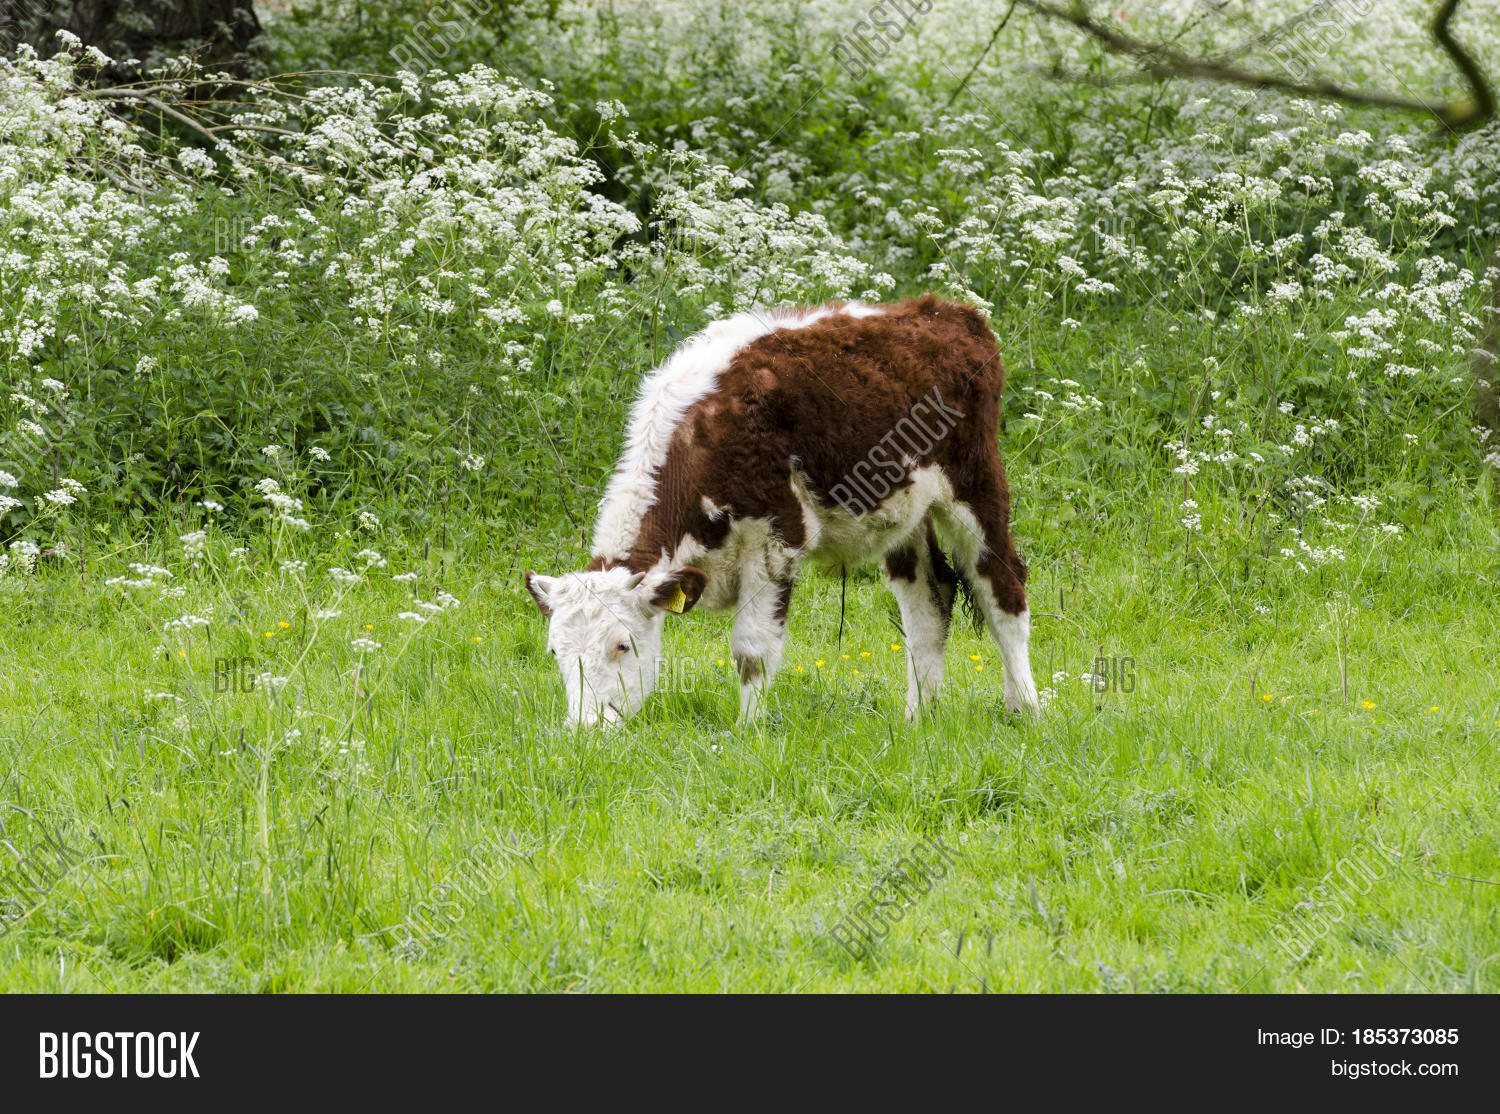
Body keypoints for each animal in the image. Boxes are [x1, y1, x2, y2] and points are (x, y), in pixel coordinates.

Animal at [525, 295, 1040, 727]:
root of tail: (946, 311)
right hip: (905, 509)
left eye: (622, 644)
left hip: (976, 484)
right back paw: (917, 719)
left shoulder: (777, 537)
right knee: (930, 601)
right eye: (553, 651)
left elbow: (751, 648)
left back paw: (1026, 711)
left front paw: (747, 732)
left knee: (1002, 590)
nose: (585, 729)